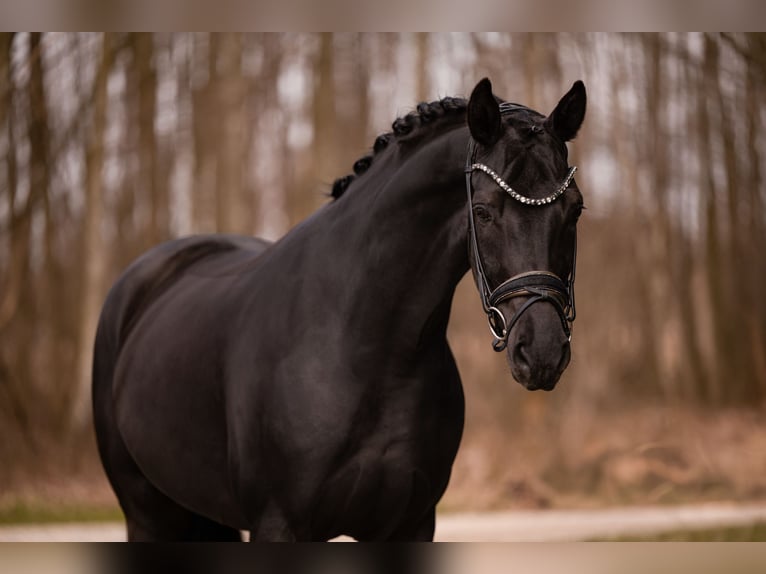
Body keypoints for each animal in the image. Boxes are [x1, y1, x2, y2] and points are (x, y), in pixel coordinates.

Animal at [92, 77, 587, 541]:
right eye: (482, 211)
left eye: (575, 209)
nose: (541, 351)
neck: (368, 350)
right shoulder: (278, 523)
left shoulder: (411, 524)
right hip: (145, 513)